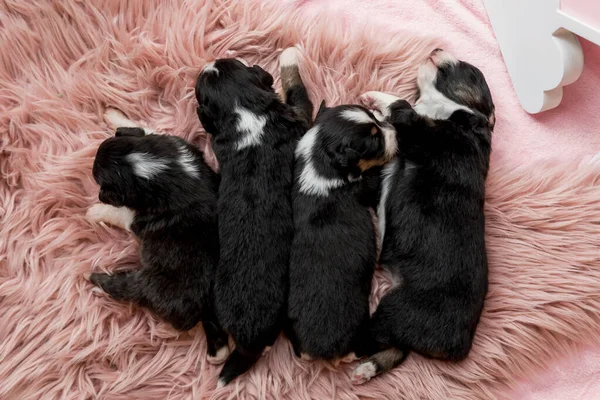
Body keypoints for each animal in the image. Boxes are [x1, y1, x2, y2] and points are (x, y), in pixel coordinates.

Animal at [86, 108, 230, 362]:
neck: (153, 167)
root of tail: (205, 307)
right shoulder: (168, 142)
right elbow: (144, 128)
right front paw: (113, 115)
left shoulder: (137, 219)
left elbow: (119, 211)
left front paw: (94, 210)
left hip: (148, 284)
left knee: (125, 289)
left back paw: (97, 282)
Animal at [196, 48, 314, 386]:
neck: (243, 111)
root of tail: (247, 338)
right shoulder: (298, 117)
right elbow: (299, 93)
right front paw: (289, 54)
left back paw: (217, 352)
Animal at [288, 102, 398, 362]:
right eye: (374, 141)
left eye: (374, 119)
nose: (394, 131)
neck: (319, 161)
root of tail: (319, 350)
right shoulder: (364, 187)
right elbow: (373, 181)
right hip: (360, 324)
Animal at [352, 48, 492, 382]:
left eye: (471, 71)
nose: (437, 47)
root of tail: (456, 347)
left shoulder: (429, 135)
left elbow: (401, 107)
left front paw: (375, 97)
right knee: (395, 349)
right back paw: (366, 370)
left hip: (399, 307)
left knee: (377, 336)